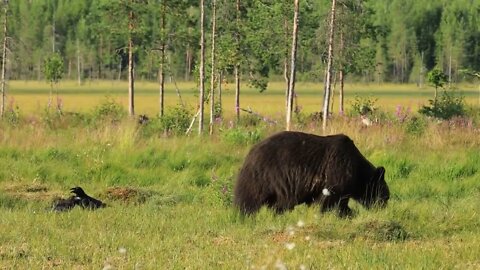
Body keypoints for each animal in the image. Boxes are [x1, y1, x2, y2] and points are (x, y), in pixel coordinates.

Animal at [233, 131, 390, 217]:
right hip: (263, 176)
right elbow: (329, 201)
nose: (383, 208)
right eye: (386, 196)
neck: (357, 171)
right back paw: (244, 215)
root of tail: (250, 152)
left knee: (276, 205)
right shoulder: (337, 171)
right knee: (249, 198)